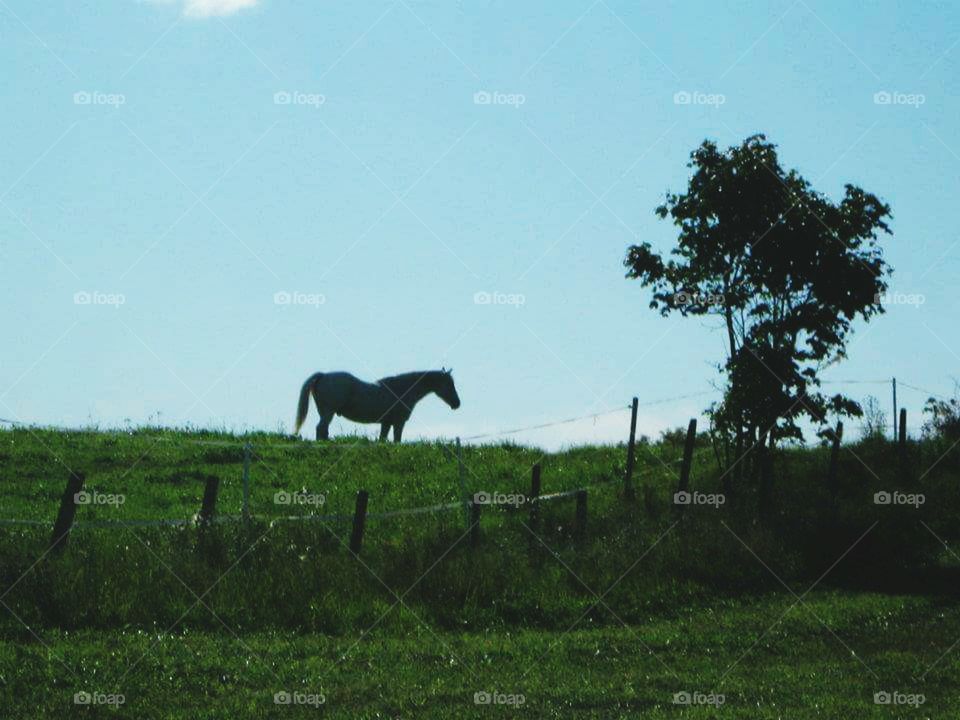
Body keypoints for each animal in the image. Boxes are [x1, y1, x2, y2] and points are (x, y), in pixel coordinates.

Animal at [294, 369, 461, 442]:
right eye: (449, 384)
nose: (457, 403)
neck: (402, 389)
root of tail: (322, 375)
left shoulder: (386, 423)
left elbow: (382, 439)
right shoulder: (398, 423)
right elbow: (397, 440)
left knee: (323, 430)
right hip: (328, 412)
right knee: (320, 429)